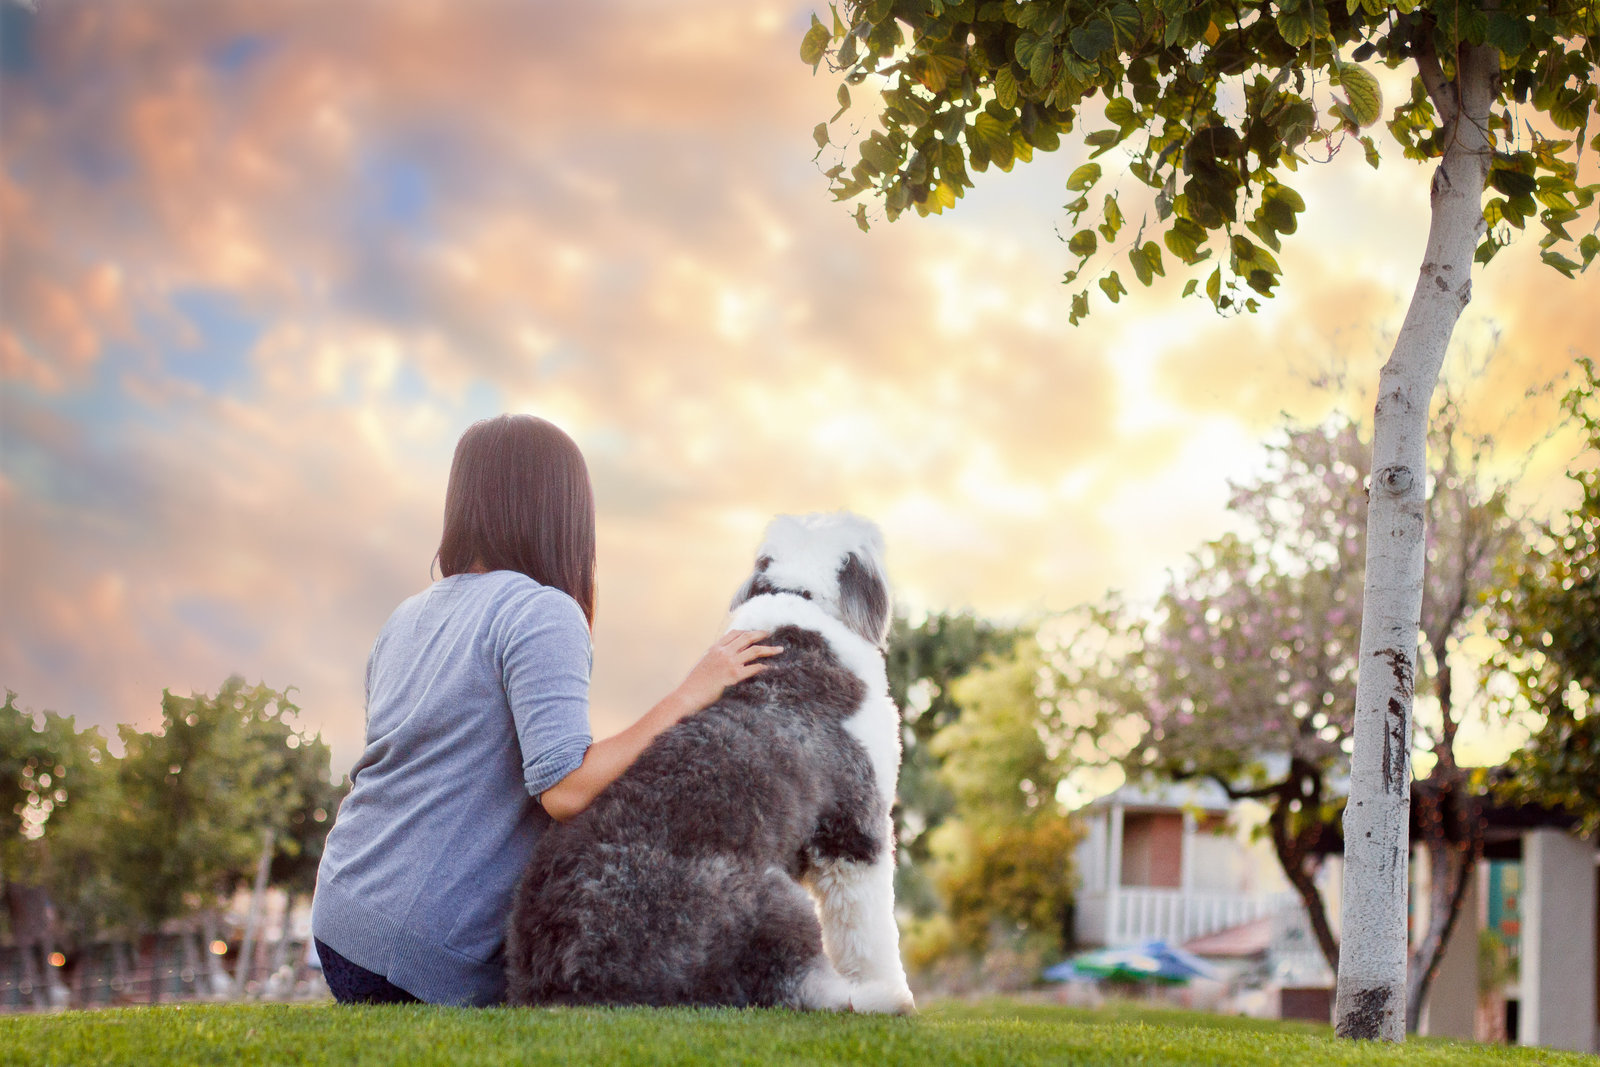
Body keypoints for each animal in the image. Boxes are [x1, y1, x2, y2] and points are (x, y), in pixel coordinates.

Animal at [505, 511, 921, 1017]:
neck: (799, 603)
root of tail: (572, 983)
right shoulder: (854, 826)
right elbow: (868, 926)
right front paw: (892, 983)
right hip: (766, 901)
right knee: (792, 986)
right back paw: (879, 999)